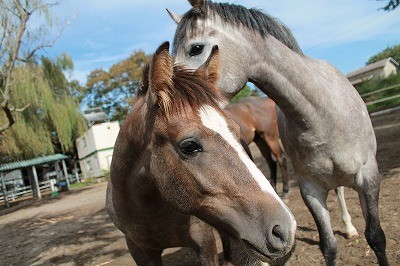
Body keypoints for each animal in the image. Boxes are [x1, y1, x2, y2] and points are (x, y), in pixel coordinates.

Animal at [106, 42, 296, 264]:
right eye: (189, 146)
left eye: (236, 131)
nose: (284, 228)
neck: (149, 212)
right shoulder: (140, 250)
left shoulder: (204, 243)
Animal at [168, 1, 388, 264]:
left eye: (196, 48)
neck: (322, 114)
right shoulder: (310, 189)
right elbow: (329, 246)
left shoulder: (369, 177)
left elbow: (376, 237)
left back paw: (348, 227)